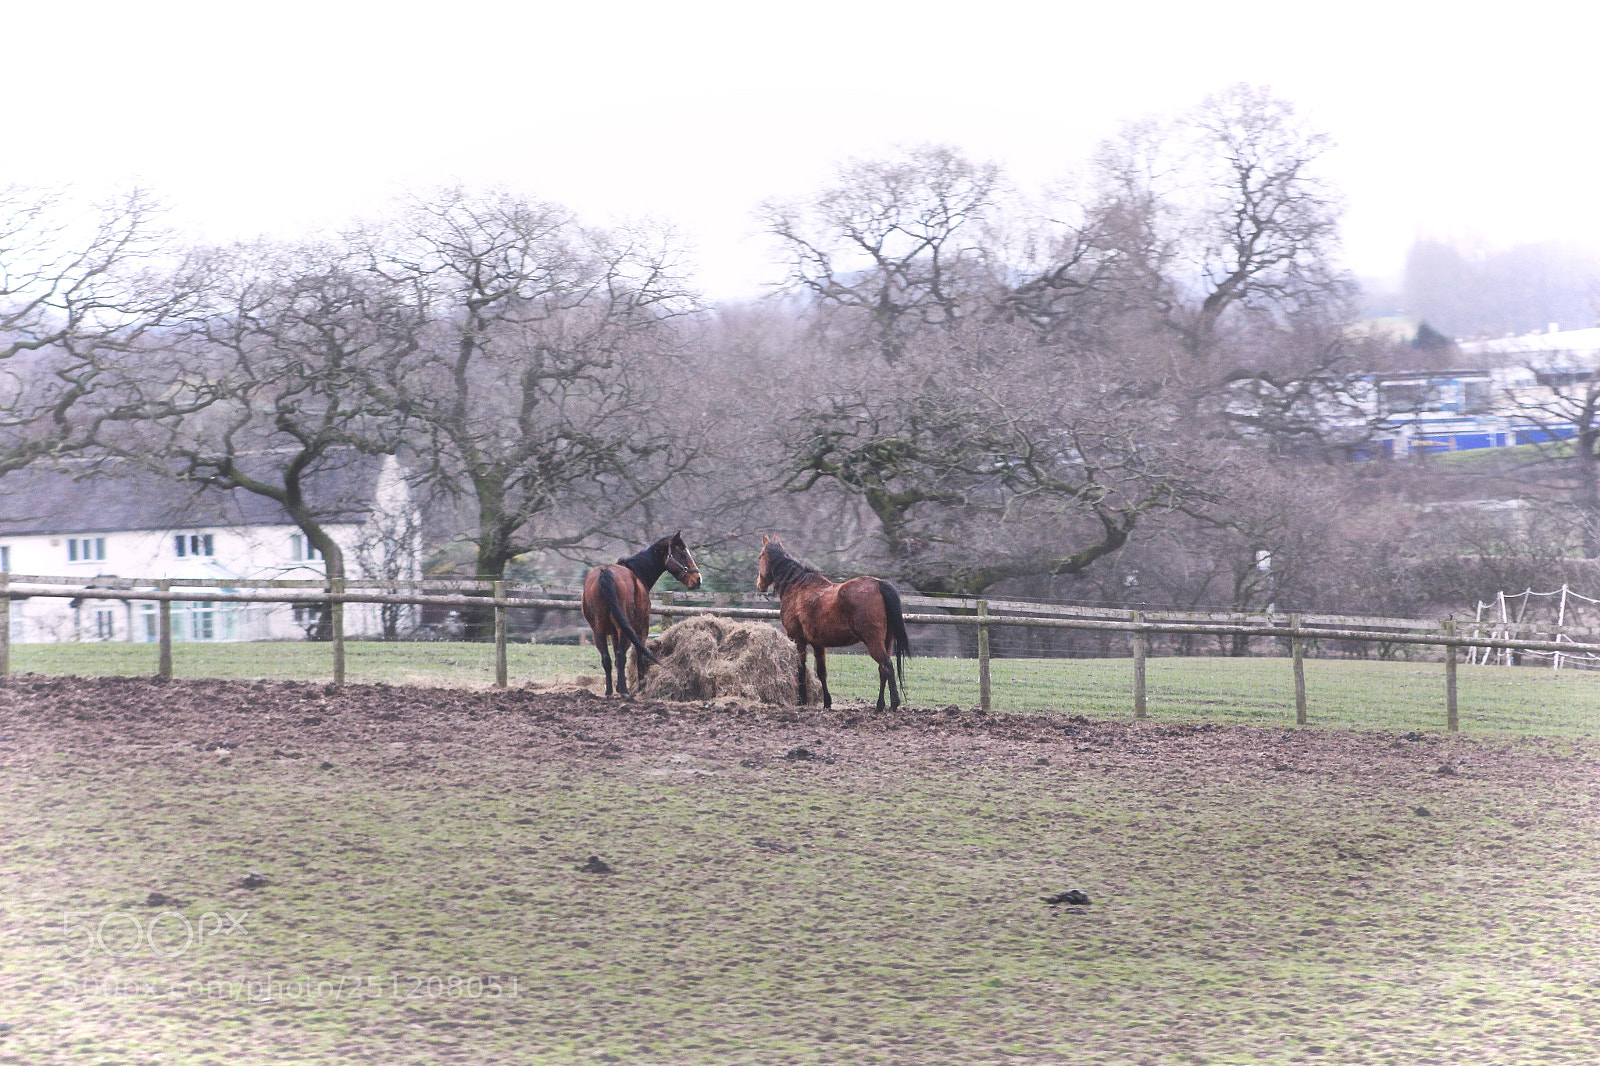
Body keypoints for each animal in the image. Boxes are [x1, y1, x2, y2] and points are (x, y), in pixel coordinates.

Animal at [581, 532, 701, 697]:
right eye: (683, 554)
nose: (698, 579)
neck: (637, 573)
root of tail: (605, 573)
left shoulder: (613, 634)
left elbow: (615, 659)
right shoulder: (641, 629)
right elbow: (639, 656)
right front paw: (641, 687)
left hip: (598, 631)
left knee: (607, 658)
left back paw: (609, 691)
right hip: (625, 629)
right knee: (621, 656)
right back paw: (625, 691)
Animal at [756, 535, 909, 711]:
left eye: (760, 556)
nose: (759, 584)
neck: (797, 587)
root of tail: (879, 584)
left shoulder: (798, 639)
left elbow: (801, 668)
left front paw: (802, 700)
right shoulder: (818, 644)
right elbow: (821, 672)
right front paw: (827, 702)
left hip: (873, 642)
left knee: (887, 666)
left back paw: (893, 704)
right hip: (887, 641)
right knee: (882, 669)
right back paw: (879, 705)